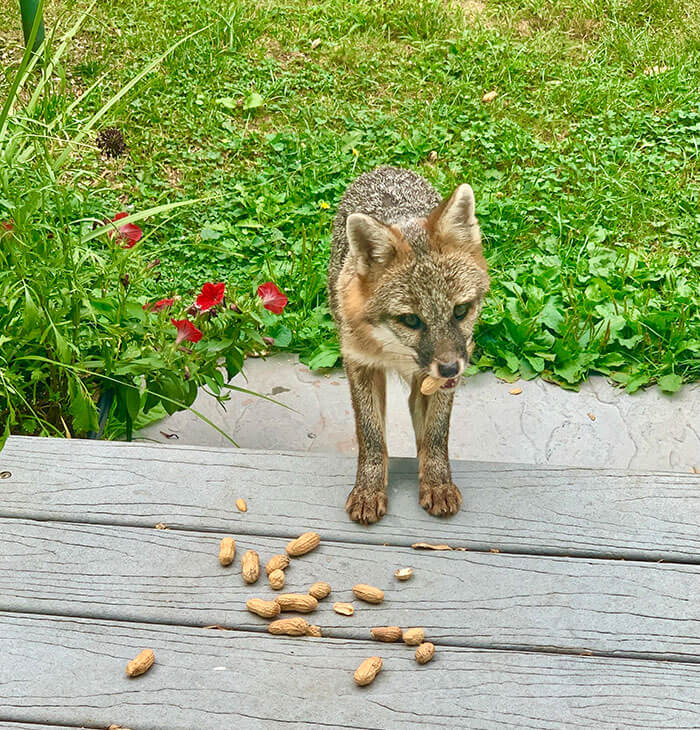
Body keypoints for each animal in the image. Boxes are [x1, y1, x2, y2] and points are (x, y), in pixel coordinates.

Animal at [328, 166, 490, 524]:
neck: (396, 352)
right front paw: (369, 489)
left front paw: (437, 482)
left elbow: (436, 433)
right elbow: (371, 435)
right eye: (411, 320)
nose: (450, 367)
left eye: (460, 311)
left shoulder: (438, 378)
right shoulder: (359, 363)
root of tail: (385, 168)